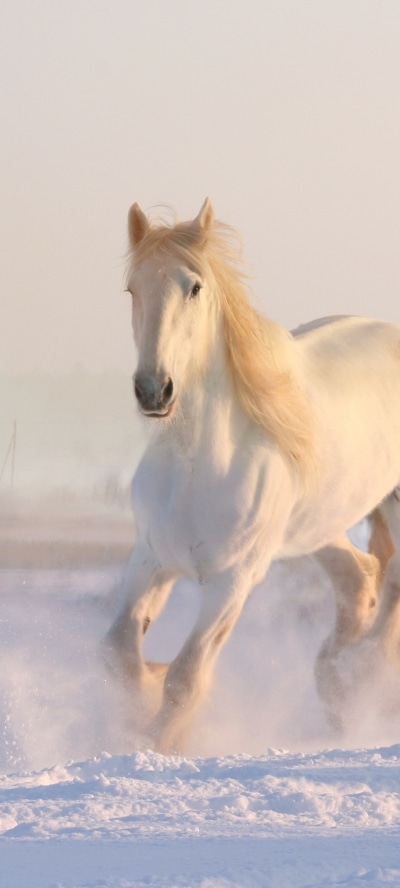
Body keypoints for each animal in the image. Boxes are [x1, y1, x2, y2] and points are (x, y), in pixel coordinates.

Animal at [104, 198, 400, 754]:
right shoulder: (151, 560)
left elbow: (187, 676)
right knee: (359, 579)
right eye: (132, 289)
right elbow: (119, 654)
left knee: (387, 584)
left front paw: (157, 745)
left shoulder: (232, 581)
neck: (197, 464)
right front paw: (135, 714)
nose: (154, 390)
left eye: (194, 287)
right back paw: (336, 686)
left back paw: (360, 679)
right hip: (319, 525)